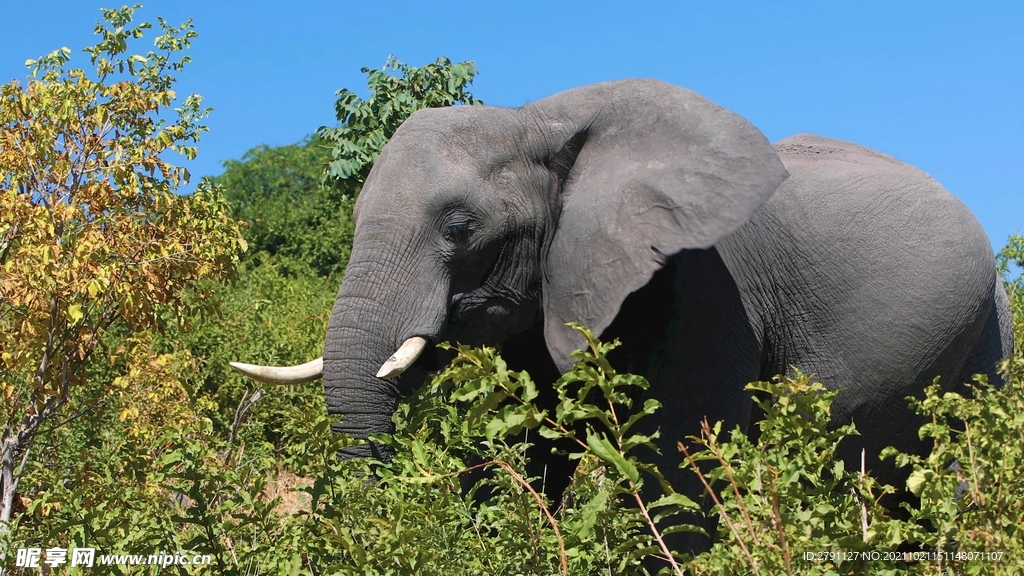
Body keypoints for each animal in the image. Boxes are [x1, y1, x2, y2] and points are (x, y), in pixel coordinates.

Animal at [231, 79, 1013, 554]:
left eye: (458, 227)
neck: (537, 121)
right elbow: (531, 447)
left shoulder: (708, 285)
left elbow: (679, 464)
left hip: (986, 337)